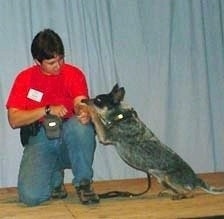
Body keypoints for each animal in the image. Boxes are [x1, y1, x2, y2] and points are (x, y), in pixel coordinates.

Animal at [82, 83, 224, 199]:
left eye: (98, 100)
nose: (83, 99)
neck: (121, 116)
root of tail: (195, 179)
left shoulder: (105, 135)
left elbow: (95, 116)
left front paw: (88, 108)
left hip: (169, 177)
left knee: (189, 192)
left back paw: (180, 196)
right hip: (162, 180)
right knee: (179, 190)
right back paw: (168, 193)